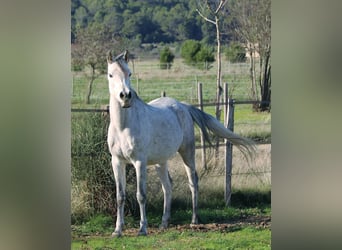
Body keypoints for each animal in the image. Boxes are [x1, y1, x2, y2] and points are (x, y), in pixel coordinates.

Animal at [107, 50, 254, 236]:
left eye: (129, 73)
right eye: (110, 74)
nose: (125, 96)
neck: (123, 126)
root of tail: (183, 106)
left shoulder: (139, 162)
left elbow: (141, 195)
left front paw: (142, 229)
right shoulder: (117, 162)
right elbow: (120, 196)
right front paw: (117, 230)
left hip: (187, 153)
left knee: (193, 181)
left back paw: (194, 220)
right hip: (160, 162)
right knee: (167, 187)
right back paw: (164, 223)